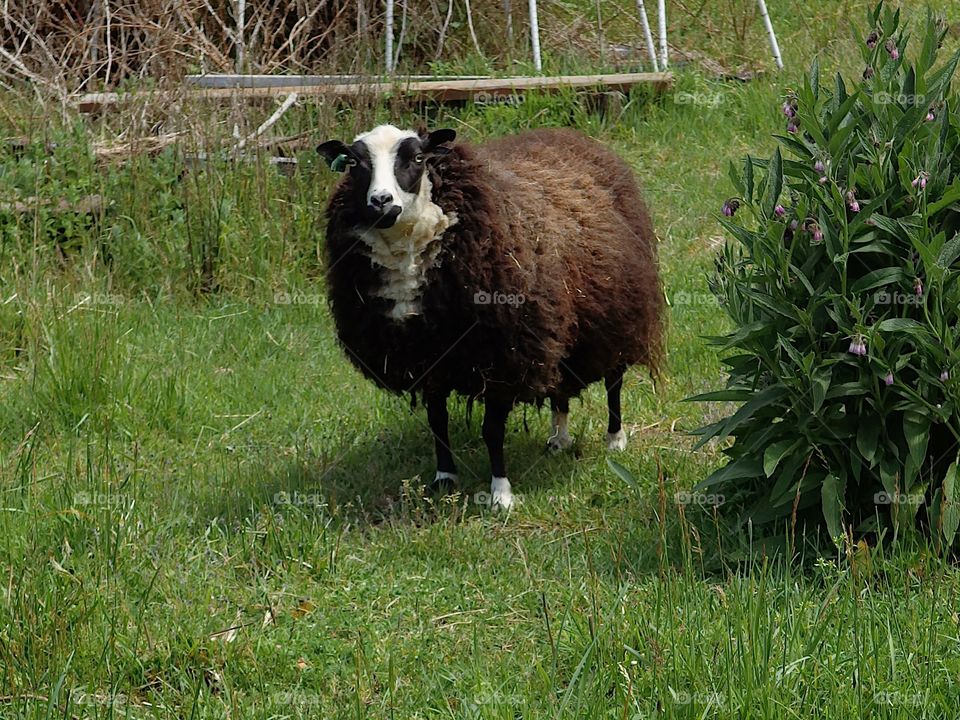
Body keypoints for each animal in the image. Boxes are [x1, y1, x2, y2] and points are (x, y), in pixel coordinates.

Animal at [318, 124, 664, 510]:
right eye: (354, 163)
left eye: (418, 158)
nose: (380, 201)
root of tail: (573, 135)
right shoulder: (429, 357)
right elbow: (437, 421)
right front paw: (444, 478)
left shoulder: (503, 356)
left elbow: (491, 430)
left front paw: (501, 493)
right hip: (561, 322)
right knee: (560, 383)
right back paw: (559, 438)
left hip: (618, 312)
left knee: (614, 379)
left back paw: (614, 438)